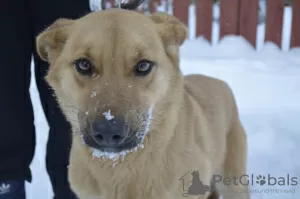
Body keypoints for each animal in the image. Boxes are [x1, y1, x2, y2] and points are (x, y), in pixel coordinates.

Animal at [35, 8, 251, 199]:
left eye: (143, 65)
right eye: (84, 64)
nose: (108, 131)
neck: (118, 165)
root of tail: (218, 81)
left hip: (234, 184)